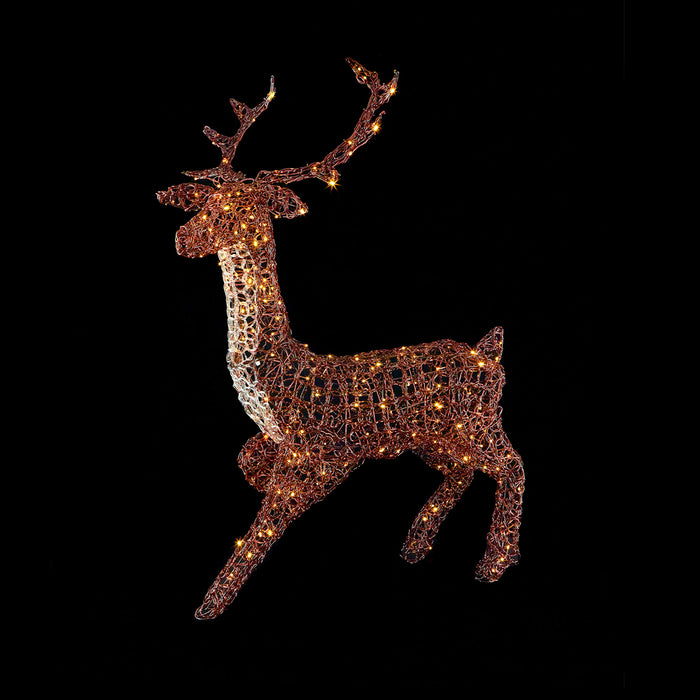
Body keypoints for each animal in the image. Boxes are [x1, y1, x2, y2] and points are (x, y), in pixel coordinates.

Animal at [157, 58, 525, 620]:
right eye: (206, 201)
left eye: (244, 205)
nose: (185, 238)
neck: (278, 376)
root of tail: (489, 353)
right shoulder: (284, 443)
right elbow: (247, 459)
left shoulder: (325, 455)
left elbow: (265, 523)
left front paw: (212, 602)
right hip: (433, 435)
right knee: (463, 469)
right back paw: (416, 544)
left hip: (480, 421)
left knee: (511, 465)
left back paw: (493, 564)